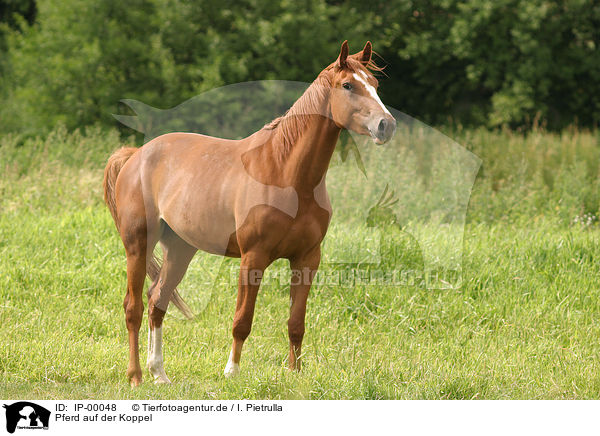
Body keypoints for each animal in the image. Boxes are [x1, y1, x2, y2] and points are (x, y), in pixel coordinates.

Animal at [101, 41, 396, 384]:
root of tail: (136, 155)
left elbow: (296, 324)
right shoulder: (253, 257)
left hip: (180, 249)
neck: (286, 173)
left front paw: (295, 374)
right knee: (133, 307)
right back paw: (136, 376)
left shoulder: (307, 259)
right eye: (348, 85)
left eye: (374, 85)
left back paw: (159, 373)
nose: (386, 125)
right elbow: (242, 320)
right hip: (138, 245)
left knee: (157, 300)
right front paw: (231, 371)